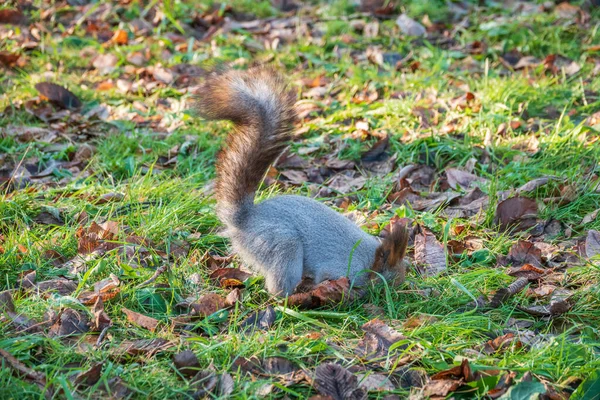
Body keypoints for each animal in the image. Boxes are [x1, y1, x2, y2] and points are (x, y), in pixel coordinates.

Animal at [195, 67, 410, 296]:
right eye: (386, 280)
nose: (397, 292)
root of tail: (243, 219)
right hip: (282, 245)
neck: (370, 260)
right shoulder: (339, 268)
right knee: (279, 287)